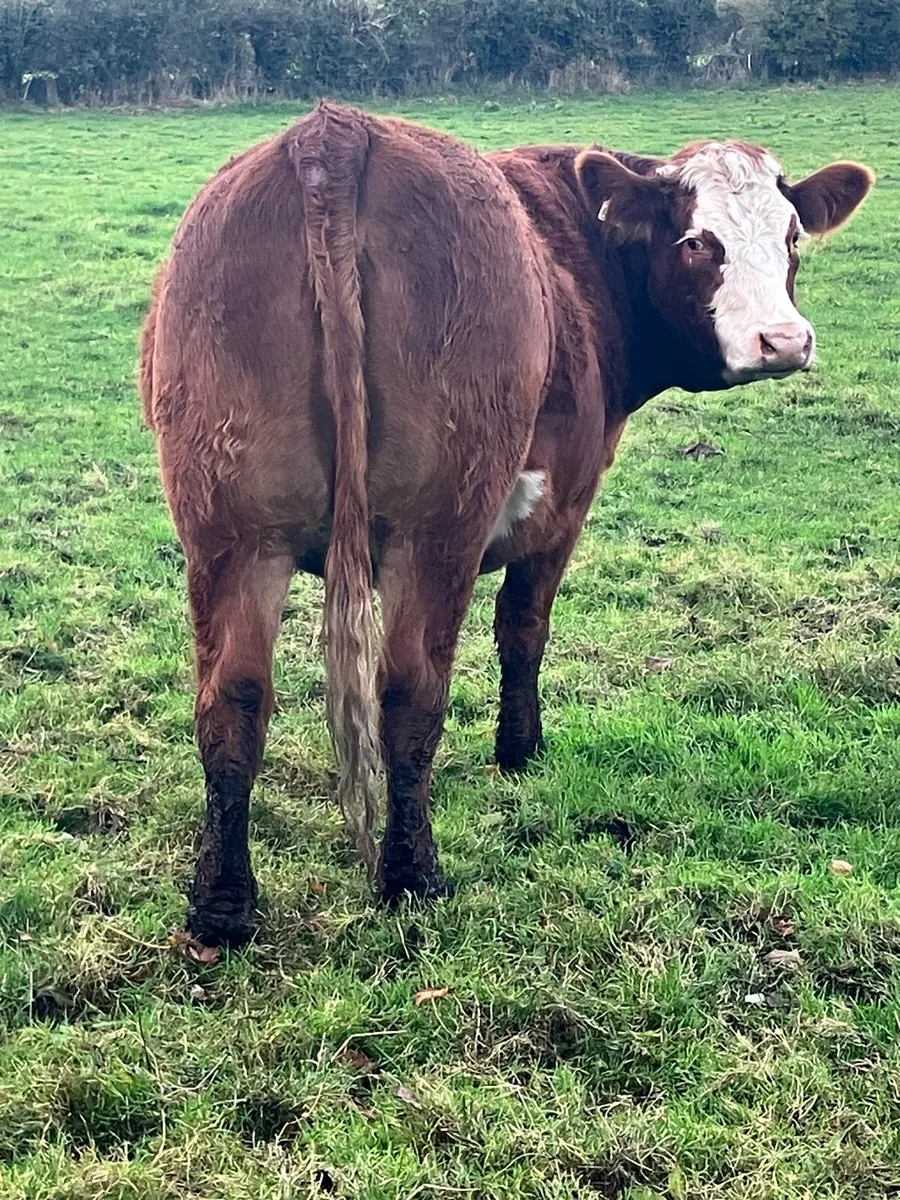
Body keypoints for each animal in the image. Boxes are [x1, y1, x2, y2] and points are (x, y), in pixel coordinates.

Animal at [140, 102, 872, 947]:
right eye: (697, 241)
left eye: (792, 237)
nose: (783, 342)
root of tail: (337, 133)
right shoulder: (561, 507)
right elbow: (524, 628)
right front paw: (520, 750)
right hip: (434, 531)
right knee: (410, 690)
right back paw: (412, 876)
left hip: (230, 533)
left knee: (232, 698)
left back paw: (223, 906)